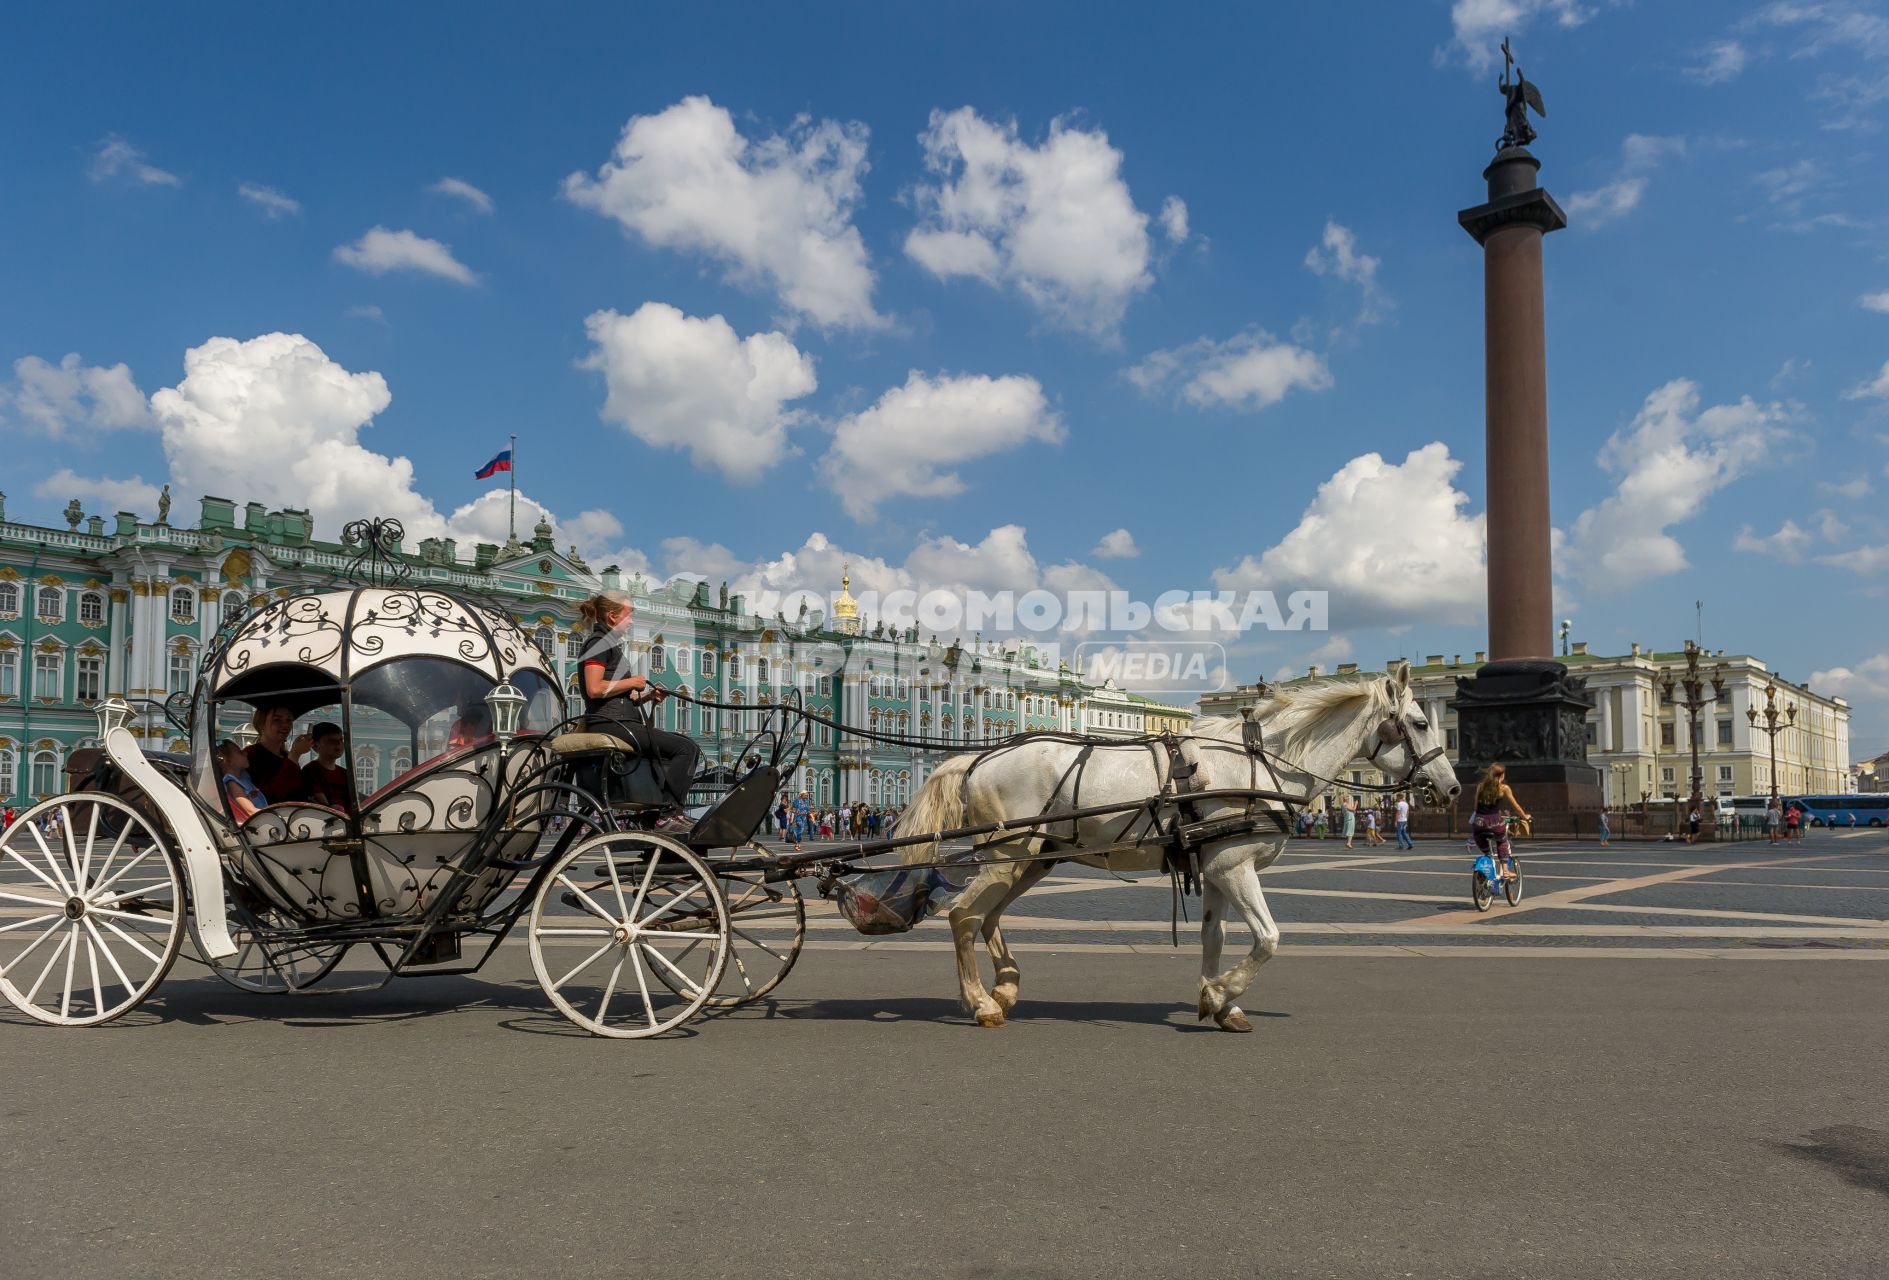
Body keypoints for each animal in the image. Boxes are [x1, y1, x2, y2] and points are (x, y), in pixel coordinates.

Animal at [899, 660, 1458, 1034]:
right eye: (1421, 722)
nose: (1452, 789)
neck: (1262, 763)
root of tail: (974, 760)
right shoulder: (1234, 869)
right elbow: (1269, 937)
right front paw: (1221, 992)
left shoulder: (1215, 869)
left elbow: (1215, 937)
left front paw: (1219, 1004)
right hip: (1006, 857)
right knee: (962, 916)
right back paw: (982, 1004)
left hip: (1031, 860)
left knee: (986, 917)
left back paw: (1006, 987)